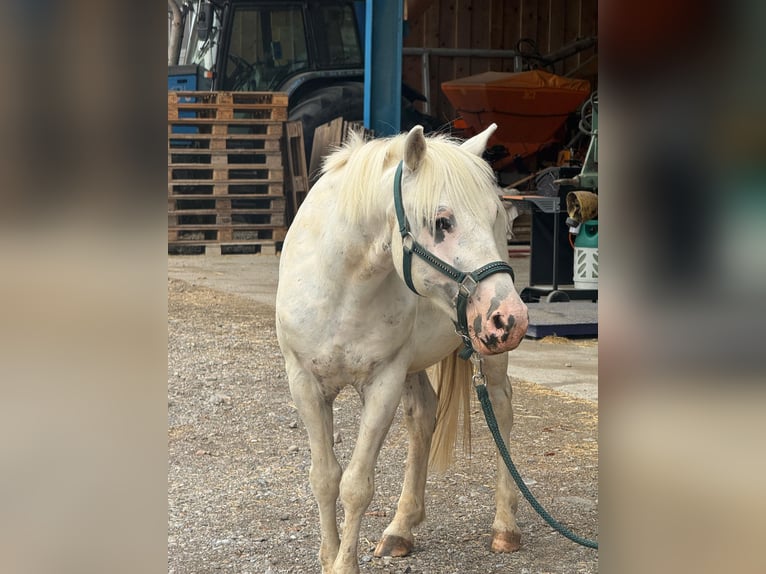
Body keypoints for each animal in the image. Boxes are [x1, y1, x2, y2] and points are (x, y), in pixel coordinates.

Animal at [275, 124, 529, 573]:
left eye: (494, 215)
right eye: (442, 222)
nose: (511, 318)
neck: (342, 289)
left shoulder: (383, 382)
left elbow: (356, 485)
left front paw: (344, 564)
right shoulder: (304, 381)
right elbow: (324, 478)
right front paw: (329, 557)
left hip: (490, 358)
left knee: (501, 410)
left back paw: (505, 527)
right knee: (424, 416)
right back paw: (400, 530)